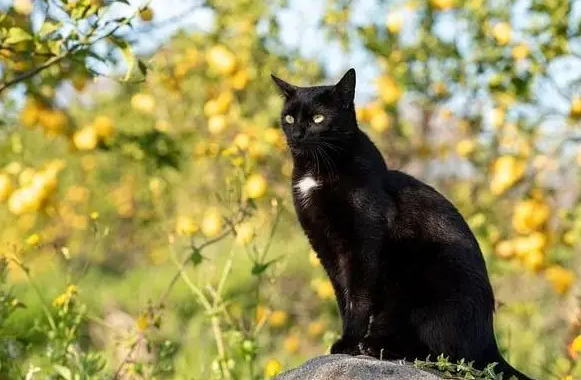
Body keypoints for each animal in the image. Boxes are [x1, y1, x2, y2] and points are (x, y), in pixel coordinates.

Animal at [270, 69, 536, 380]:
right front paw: (347, 341)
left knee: (447, 356)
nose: (297, 134)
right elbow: (343, 298)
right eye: (289, 118)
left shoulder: (362, 248)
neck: (316, 171)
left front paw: (349, 344)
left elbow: (358, 298)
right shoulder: (327, 250)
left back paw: (377, 347)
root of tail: (491, 345)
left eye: (317, 119)